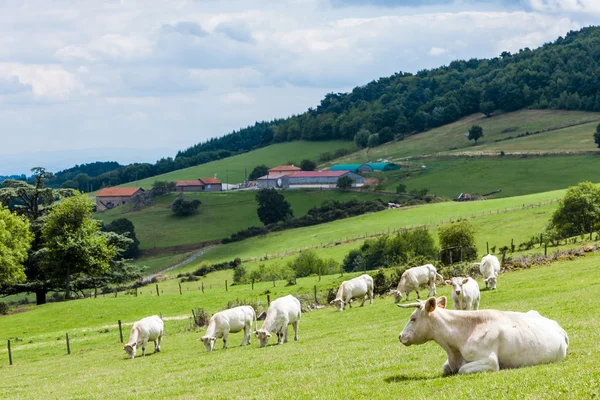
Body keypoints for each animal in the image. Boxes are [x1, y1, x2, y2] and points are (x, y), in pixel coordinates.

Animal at [398, 296, 568, 376]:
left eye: (413, 318)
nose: (400, 336)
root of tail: (559, 327)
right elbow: (446, 367)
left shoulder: (490, 361)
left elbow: (462, 370)